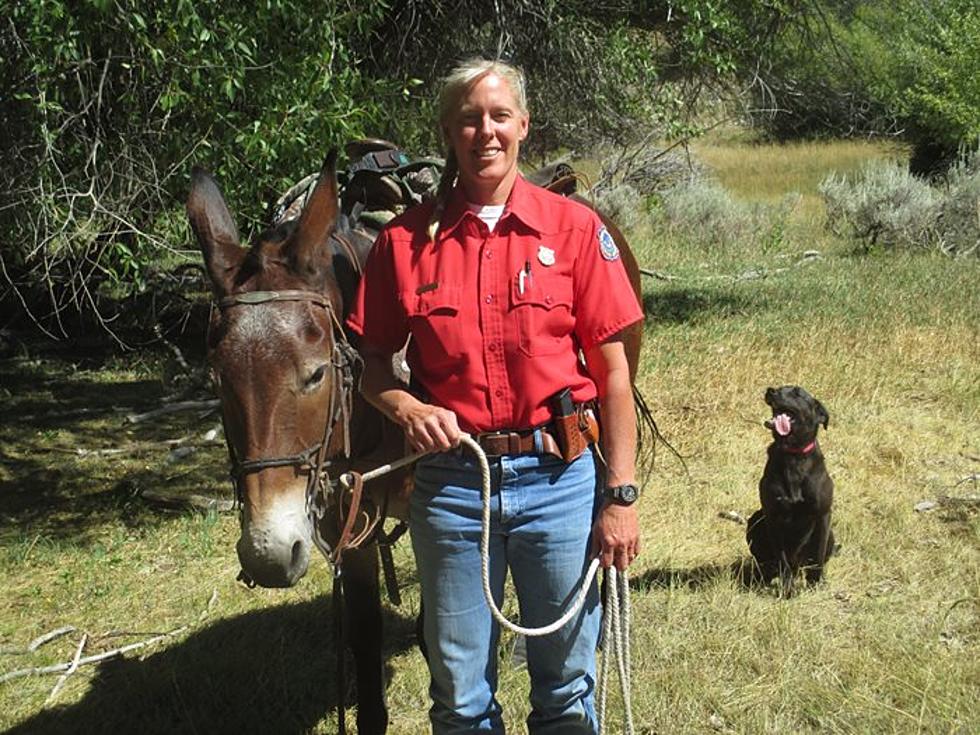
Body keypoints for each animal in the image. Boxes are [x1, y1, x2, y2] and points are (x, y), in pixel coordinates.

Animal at [752, 388, 836, 596]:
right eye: (780, 387)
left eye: (798, 393)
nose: (770, 390)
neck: (794, 455)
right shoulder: (773, 516)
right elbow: (782, 560)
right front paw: (787, 589)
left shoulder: (823, 515)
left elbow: (818, 556)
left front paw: (816, 583)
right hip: (754, 520)